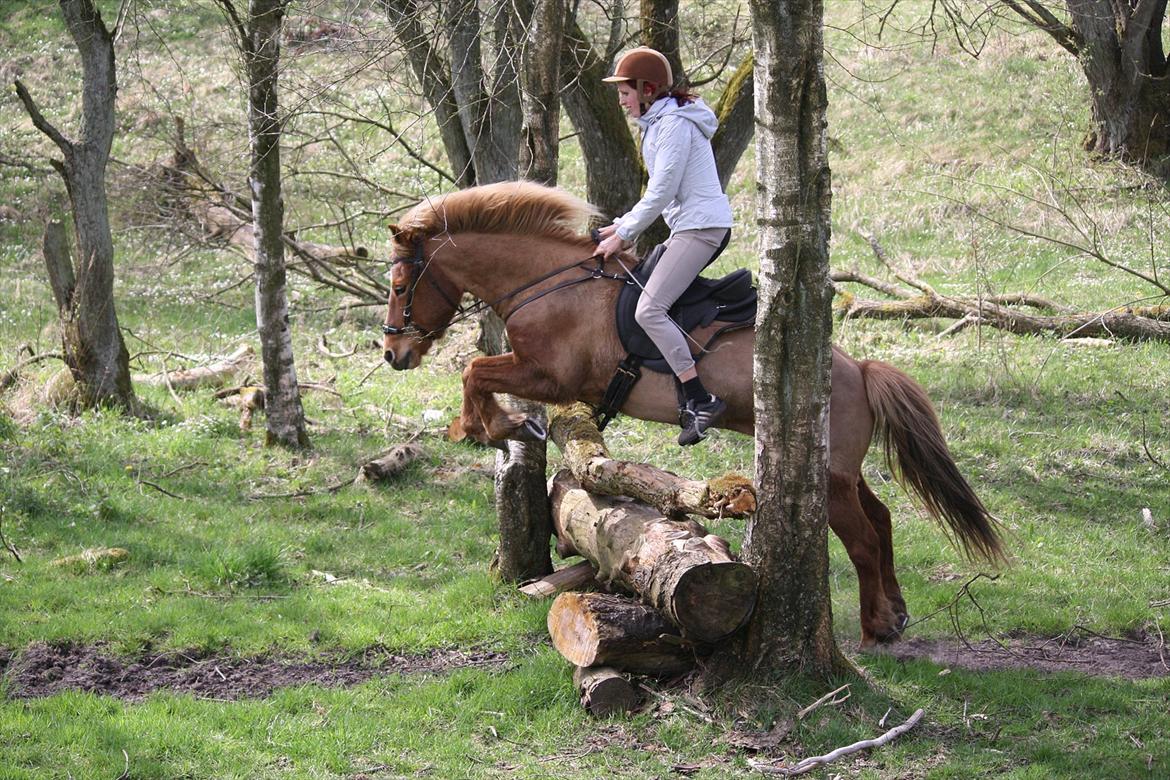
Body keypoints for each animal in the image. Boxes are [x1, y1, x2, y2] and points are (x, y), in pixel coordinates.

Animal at [383, 181, 1006, 645]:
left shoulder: (549, 373)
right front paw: (494, 424)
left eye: (399, 283)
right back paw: (895, 611)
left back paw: (878, 627)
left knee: (864, 541)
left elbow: (474, 370)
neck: (548, 284)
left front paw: (495, 426)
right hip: (843, 472)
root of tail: (859, 369)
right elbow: (478, 371)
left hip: (828, 477)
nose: (393, 354)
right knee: (881, 520)